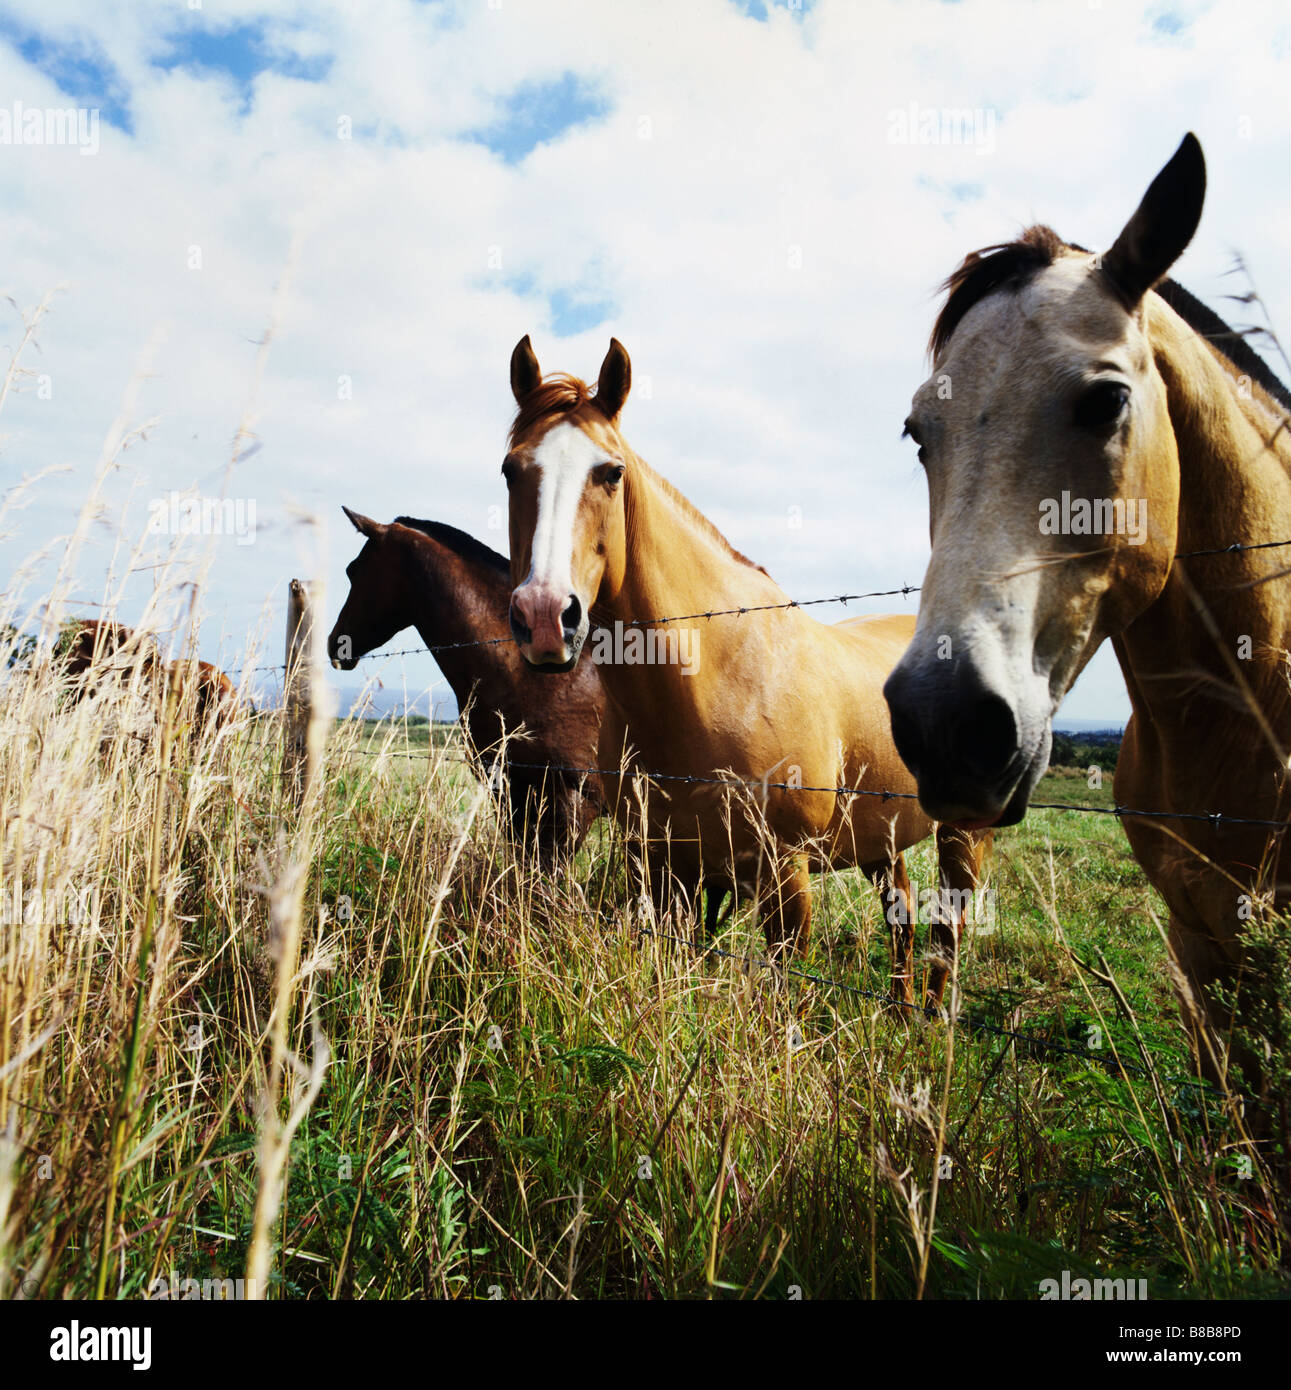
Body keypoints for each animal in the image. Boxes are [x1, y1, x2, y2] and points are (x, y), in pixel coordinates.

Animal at [500, 333, 989, 1000]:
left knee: (948, 928)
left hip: (963, 832)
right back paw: (899, 1007)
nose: (546, 614)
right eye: (511, 470)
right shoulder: (660, 863)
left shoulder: (785, 872)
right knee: (903, 913)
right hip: (881, 839)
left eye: (612, 472)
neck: (713, 684)